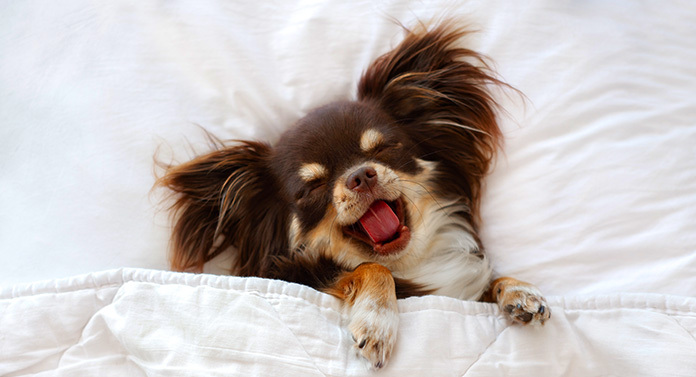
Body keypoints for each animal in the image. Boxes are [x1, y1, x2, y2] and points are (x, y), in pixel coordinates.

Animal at [156, 19, 548, 368]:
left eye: (384, 148)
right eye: (311, 187)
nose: (360, 175)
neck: (413, 263)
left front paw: (518, 290)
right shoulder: (299, 278)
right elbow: (372, 267)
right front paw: (377, 322)